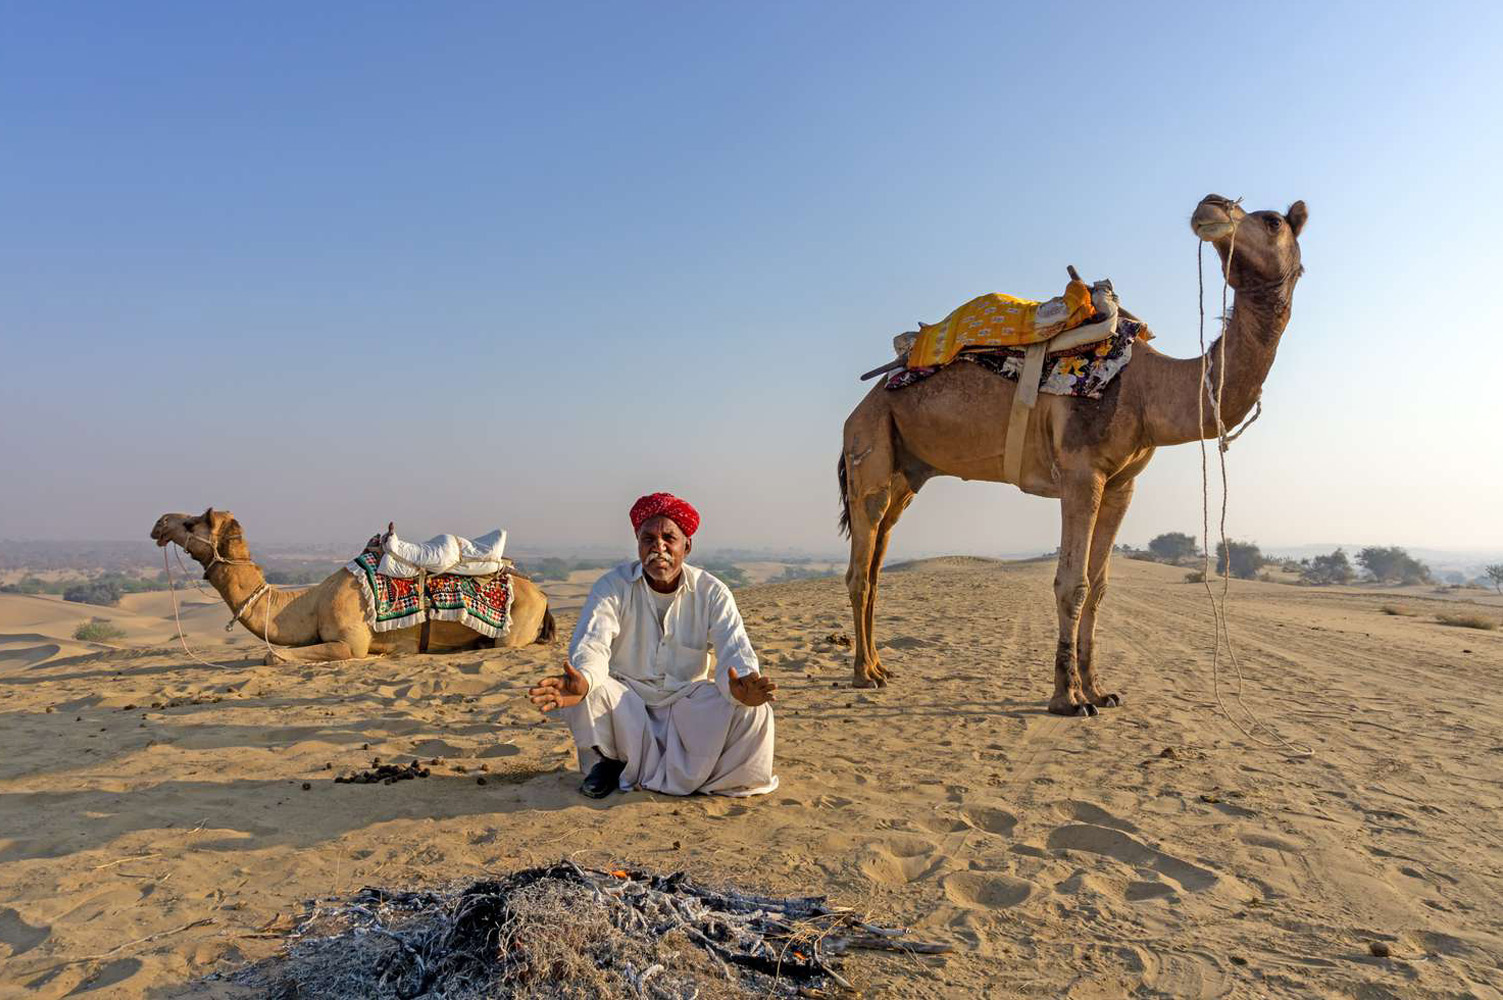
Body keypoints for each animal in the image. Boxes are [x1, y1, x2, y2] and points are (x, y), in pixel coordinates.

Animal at [151, 508, 559, 661]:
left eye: (192, 523)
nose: (160, 522)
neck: (312, 600)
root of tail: (541, 594)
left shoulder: (350, 642)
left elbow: (273, 655)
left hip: (514, 628)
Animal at [841, 192, 1310, 709]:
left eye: (1271, 221)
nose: (1211, 206)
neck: (1148, 390)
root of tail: (863, 402)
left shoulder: (1122, 484)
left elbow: (1100, 585)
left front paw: (1099, 690)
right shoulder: (1082, 472)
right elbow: (1073, 584)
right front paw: (1068, 698)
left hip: (906, 471)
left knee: (878, 559)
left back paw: (881, 665)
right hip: (868, 445)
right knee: (860, 565)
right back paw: (863, 674)